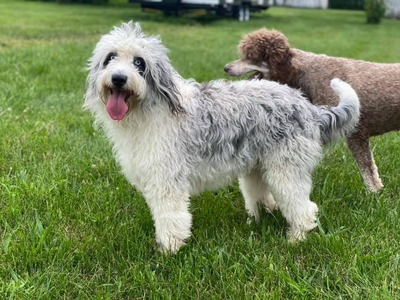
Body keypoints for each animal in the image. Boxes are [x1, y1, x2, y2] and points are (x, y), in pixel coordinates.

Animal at [84, 22, 360, 253]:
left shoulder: (167, 183)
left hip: (286, 171)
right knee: (266, 198)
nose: (119, 78)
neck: (148, 111)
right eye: (110, 58)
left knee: (305, 208)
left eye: (139, 63)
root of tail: (308, 108)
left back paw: (295, 238)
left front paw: (169, 250)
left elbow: (171, 219)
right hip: (257, 169)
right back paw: (257, 220)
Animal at [225, 28, 400, 192]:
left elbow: (368, 171)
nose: (226, 67)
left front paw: (375, 193)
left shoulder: (357, 132)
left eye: (250, 55)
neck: (309, 72)